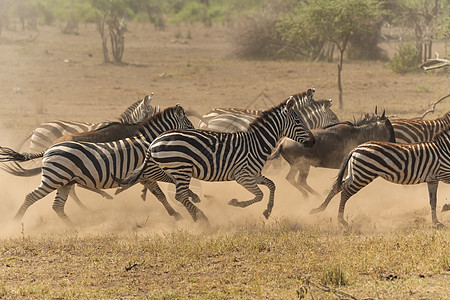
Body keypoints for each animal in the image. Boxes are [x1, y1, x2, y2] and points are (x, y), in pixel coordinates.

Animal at [0, 104, 193, 226]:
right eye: (189, 124)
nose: (194, 136)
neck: (142, 136)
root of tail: (51, 146)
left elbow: (158, 191)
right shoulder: (144, 170)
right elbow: (161, 189)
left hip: (67, 177)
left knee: (69, 194)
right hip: (63, 175)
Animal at [116, 94, 316, 223]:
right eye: (299, 121)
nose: (313, 141)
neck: (257, 142)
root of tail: (154, 141)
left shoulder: (255, 175)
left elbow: (272, 185)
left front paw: (267, 211)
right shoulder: (242, 176)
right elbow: (259, 195)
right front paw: (236, 203)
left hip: (171, 170)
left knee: (175, 193)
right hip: (181, 169)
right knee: (180, 195)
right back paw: (201, 218)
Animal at [312, 124, 450, 227]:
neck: (444, 149)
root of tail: (355, 149)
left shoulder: (433, 179)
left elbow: (433, 200)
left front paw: (436, 222)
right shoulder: (445, 174)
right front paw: (446, 208)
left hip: (355, 174)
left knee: (337, 187)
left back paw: (319, 209)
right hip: (363, 175)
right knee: (345, 193)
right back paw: (342, 221)